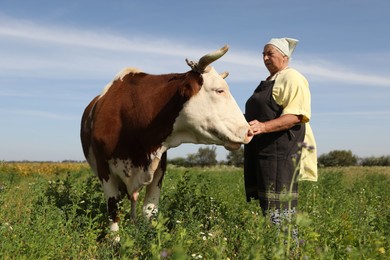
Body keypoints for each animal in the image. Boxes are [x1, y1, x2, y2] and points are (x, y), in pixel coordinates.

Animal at [80, 45, 254, 236]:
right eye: (219, 90)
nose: (249, 131)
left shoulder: (158, 166)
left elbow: (149, 211)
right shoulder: (104, 169)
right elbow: (113, 211)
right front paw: (116, 240)